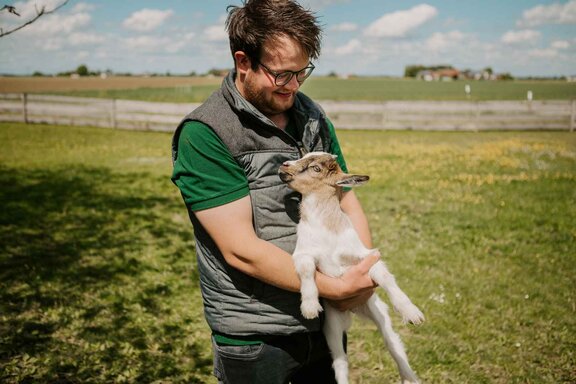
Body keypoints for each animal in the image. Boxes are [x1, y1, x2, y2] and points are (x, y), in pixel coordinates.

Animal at [280, 152, 424, 384]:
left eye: (316, 168)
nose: (284, 165)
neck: (325, 228)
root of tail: (353, 311)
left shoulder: (364, 256)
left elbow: (384, 276)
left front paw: (411, 312)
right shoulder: (303, 253)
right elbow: (306, 271)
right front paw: (309, 307)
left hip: (379, 312)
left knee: (393, 344)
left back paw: (410, 377)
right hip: (332, 327)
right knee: (340, 360)